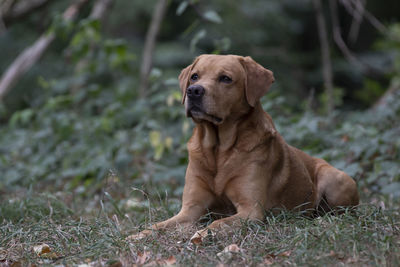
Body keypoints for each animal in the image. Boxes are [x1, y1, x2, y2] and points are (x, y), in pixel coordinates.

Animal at [130, 54, 360, 243]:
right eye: (195, 76)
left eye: (225, 78)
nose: (194, 91)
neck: (219, 149)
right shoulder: (190, 209)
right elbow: (159, 225)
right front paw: (137, 235)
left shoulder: (251, 210)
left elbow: (218, 223)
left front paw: (202, 234)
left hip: (336, 179)